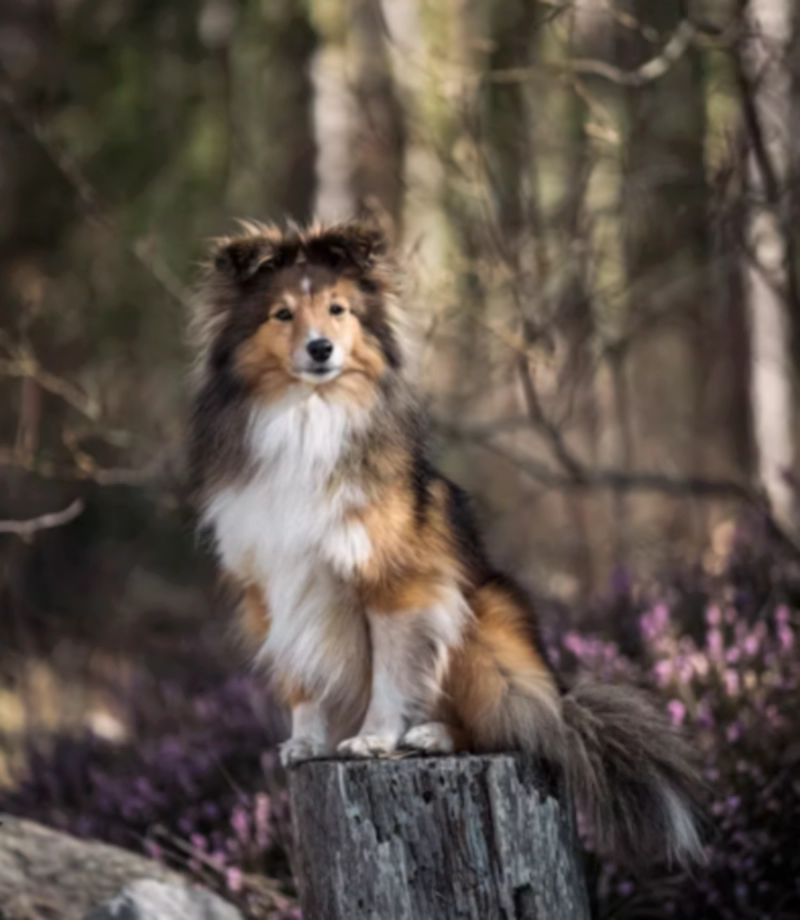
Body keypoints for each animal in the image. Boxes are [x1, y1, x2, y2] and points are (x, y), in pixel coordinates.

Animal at [186, 219, 700, 868]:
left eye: (338, 309)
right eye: (283, 314)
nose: (321, 349)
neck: (309, 416)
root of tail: (561, 702)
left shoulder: (397, 583)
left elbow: (391, 671)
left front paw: (374, 737)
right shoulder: (274, 587)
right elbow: (301, 675)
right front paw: (307, 741)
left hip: (481, 622)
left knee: (510, 728)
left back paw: (432, 733)